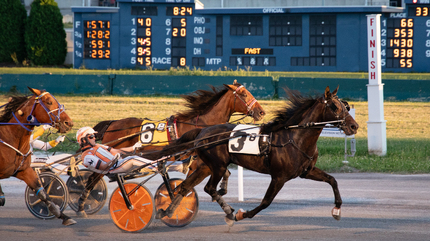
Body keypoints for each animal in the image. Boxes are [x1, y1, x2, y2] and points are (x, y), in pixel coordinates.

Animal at [0, 87, 74, 226]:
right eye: (49, 102)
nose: (69, 123)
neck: (10, 137)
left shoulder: (24, 170)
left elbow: (42, 193)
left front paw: (63, 216)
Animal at [75, 80, 268, 217]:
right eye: (243, 94)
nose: (261, 112)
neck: (200, 124)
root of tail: (112, 123)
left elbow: (221, 174)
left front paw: (220, 189)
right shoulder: (198, 161)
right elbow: (188, 184)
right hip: (107, 156)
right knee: (93, 178)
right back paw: (82, 204)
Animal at [151, 86, 360, 226]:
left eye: (346, 106)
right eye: (334, 107)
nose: (354, 126)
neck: (295, 137)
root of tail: (202, 131)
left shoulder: (306, 171)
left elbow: (332, 180)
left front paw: (337, 210)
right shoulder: (279, 177)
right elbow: (266, 202)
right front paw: (242, 214)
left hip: (206, 166)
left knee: (185, 186)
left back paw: (168, 211)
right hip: (217, 165)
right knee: (209, 188)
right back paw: (228, 211)